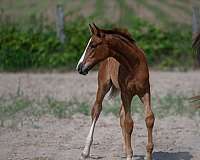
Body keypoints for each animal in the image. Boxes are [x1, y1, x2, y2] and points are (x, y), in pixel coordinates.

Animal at [76, 22, 155, 160]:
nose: (79, 67)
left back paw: (125, 148)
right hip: (103, 86)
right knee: (96, 110)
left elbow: (149, 118)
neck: (133, 64)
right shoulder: (126, 93)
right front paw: (129, 155)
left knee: (121, 114)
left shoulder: (145, 91)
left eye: (93, 45)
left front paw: (147, 155)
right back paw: (85, 152)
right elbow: (128, 123)